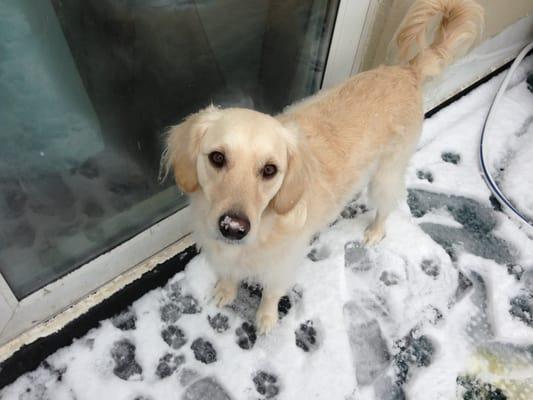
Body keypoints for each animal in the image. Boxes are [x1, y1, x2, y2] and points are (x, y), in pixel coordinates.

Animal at [162, 0, 482, 334]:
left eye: (270, 170)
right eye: (217, 157)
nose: (233, 228)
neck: (265, 227)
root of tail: (407, 70)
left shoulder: (282, 265)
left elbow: (271, 294)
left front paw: (266, 320)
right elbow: (228, 274)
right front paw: (225, 290)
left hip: (386, 175)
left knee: (386, 205)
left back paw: (374, 231)